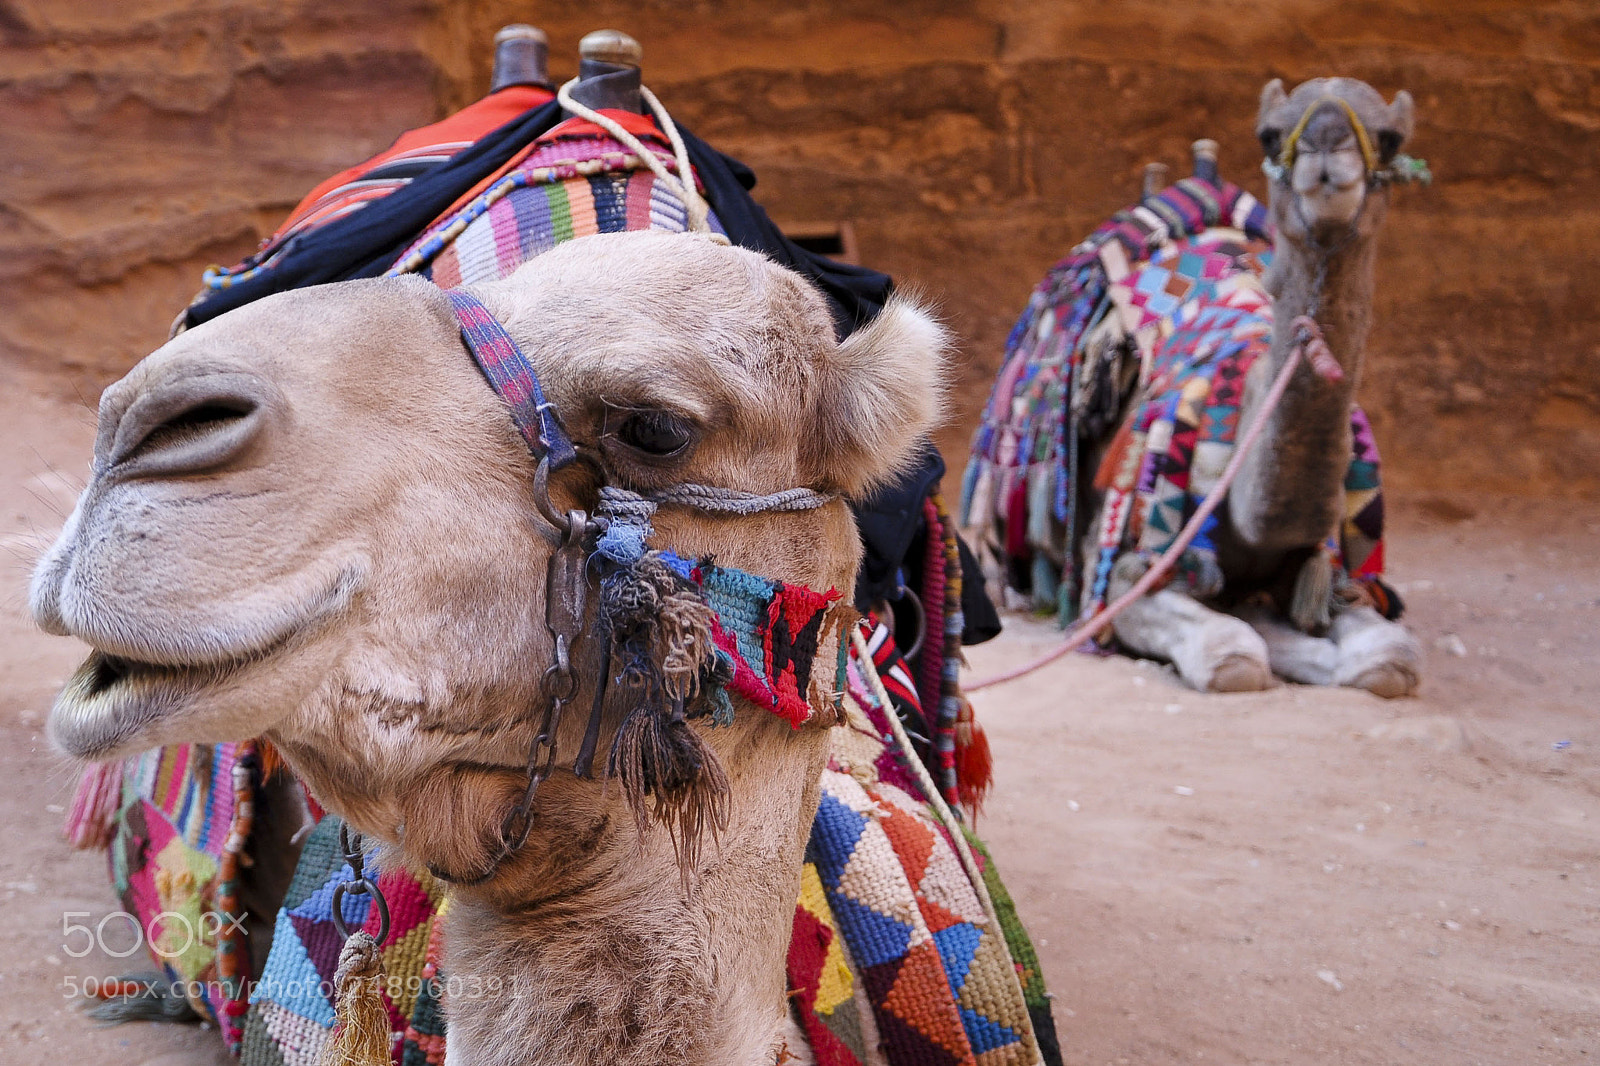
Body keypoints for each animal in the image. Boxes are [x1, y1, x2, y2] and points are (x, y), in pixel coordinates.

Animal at [964, 77, 1423, 696]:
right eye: (1270, 134)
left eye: (1391, 138)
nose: (1327, 144)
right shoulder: (1124, 568)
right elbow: (1233, 655)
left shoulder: (1324, 565)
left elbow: (1390, 657)